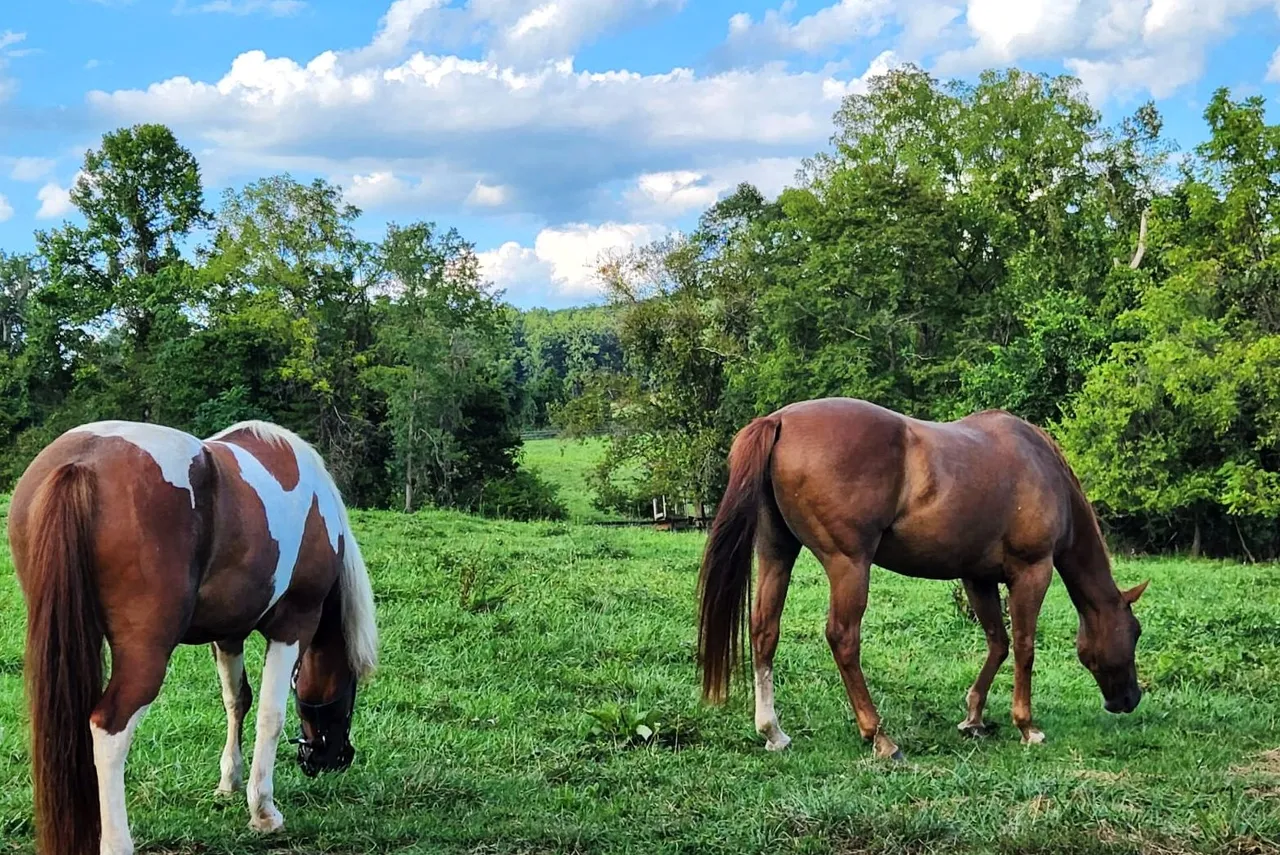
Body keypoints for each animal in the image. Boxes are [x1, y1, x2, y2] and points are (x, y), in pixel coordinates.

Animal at [5, 419, 376, 855]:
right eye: (350, 695)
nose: (333, 758)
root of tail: (81, 463)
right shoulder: (294, 625)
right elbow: (271, 715)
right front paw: (263, 810)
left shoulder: (229, 633)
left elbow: (237, 700)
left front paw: (229, 781)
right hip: (145, 655)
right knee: (108, 729)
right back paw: (117, 841)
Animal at [701, 396, 1152, 757]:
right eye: (1135, 632)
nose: (1130, 699)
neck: (1040, 466)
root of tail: (779, 420)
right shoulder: (1032, 571)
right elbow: (1024, 647)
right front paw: (1027, 726)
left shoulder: (977, 578)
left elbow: (998, 643)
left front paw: (973, 717)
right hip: (848, 563)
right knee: (843, 638)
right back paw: (879, 737)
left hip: (776, 552)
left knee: (765, 630)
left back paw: (773, 732)